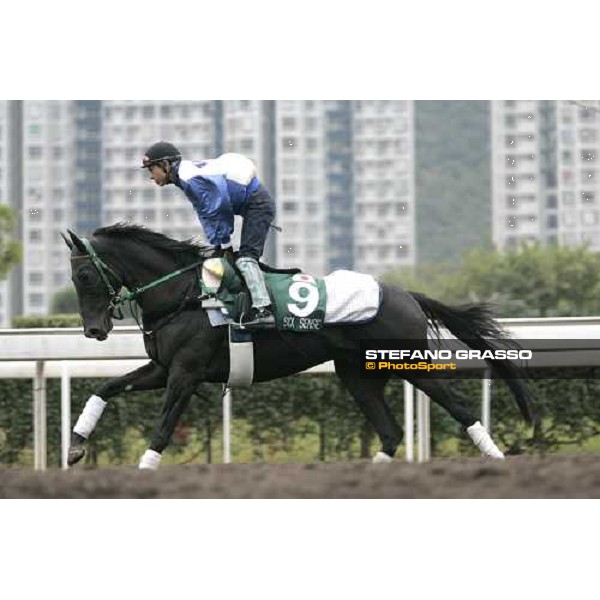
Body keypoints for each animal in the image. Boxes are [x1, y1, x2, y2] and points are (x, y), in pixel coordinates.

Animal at [64, 225, 536, 468]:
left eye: (84, 276)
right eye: (72, 277)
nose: (94, 331)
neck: (185, 294)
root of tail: (405, 294)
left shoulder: (184, 374)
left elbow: (162, 427)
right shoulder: (162, 369)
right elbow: (103, 389)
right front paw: (75, 446)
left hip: (407, 362)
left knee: (459, 407)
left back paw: (496, 459)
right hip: (357, 374)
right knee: (390, 432)